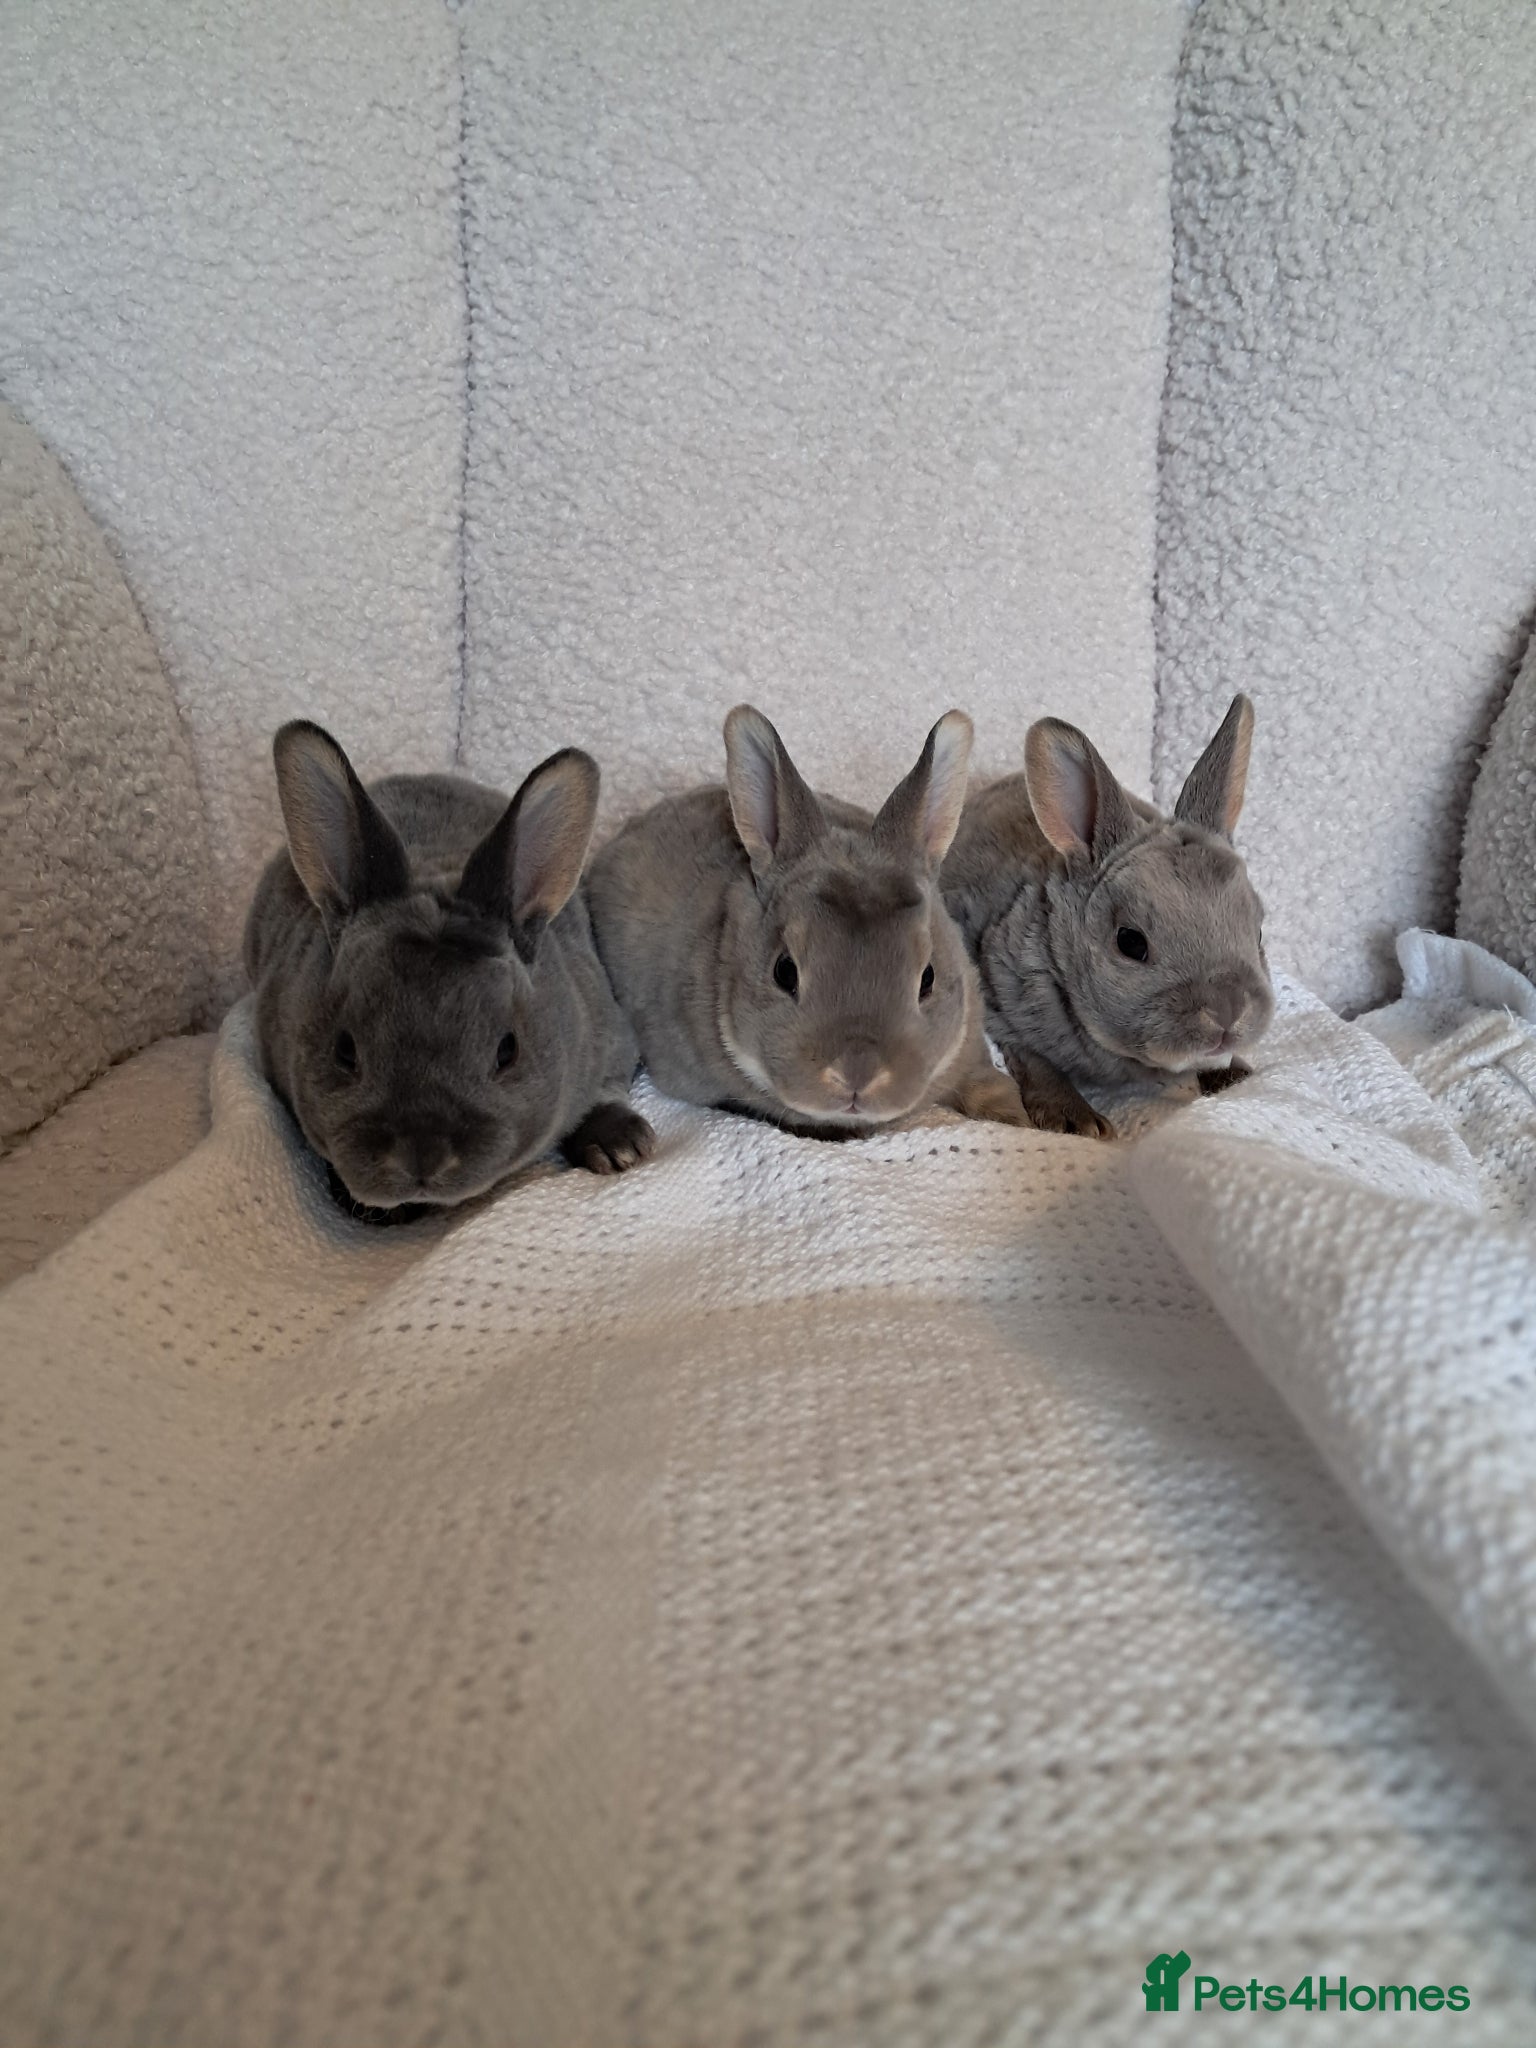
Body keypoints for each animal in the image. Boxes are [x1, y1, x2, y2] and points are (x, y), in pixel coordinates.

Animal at [244, 720, 655, 1216]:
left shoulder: (611, 1037)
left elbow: (606, 1092)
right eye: (343, 1052)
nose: (422, 1158)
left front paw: (621, 1147)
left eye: (508, 1051)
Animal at [942, 695, 1274, 1138]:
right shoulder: (1002, 1003)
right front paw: (1075, 1120)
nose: (1228, 1014)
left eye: (1258, 933)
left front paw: (1234, 1074)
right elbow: (1037, 1062)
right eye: (1130, 943)